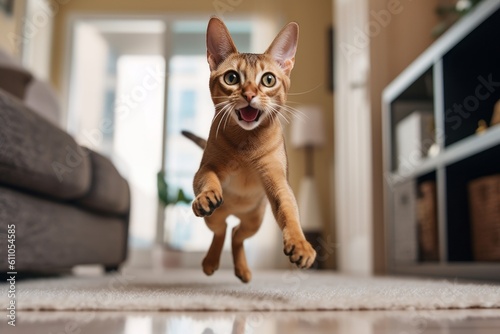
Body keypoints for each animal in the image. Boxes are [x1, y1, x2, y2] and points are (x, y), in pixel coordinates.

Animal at [184, 17, 316, 284]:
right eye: (232, 77)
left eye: (268, 79)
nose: (249, 94)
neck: (246, 143)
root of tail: (235, 211)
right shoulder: (205, 168)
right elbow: (208, 179)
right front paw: (207, 195)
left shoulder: (278, 180)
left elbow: (290, 212)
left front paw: (301, 245)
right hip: (214, 218)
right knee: (223, 229)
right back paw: (210, 262)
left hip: (255, 220)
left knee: (236, 232)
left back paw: (242, 271)